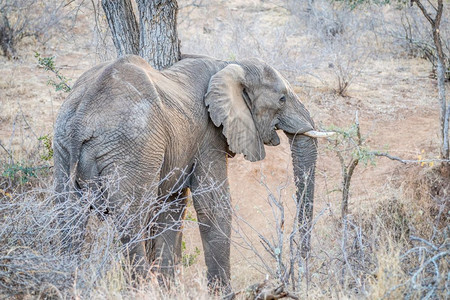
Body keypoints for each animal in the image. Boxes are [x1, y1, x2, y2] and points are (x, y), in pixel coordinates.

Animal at [52, 53, 328, 290]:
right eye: (282, 99)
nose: (303, 270)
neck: (228, 65)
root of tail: (80, 121)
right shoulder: (208, 136)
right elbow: (213, 207)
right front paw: (222, 293)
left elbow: (173, 208)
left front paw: (169, 290)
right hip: (132, 149)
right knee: (131, 222)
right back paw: (138, 290)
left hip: (63, 148)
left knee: (68, 218)